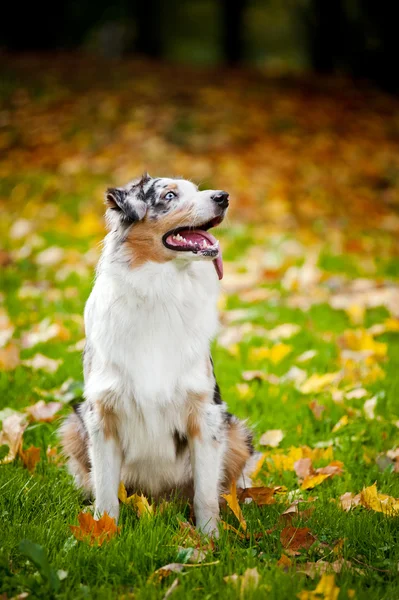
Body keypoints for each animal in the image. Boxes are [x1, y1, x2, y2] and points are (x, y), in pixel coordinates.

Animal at [60, 173, 253, 536]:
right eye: (169, 195)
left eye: (197, 190)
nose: (223, 197)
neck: (161, 290)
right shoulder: (101, 415)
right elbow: (105, 492)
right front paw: (103, 535)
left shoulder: (206, 413)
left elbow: (205, 494)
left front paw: (210, 540)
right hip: (72, 426)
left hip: (236, 433)